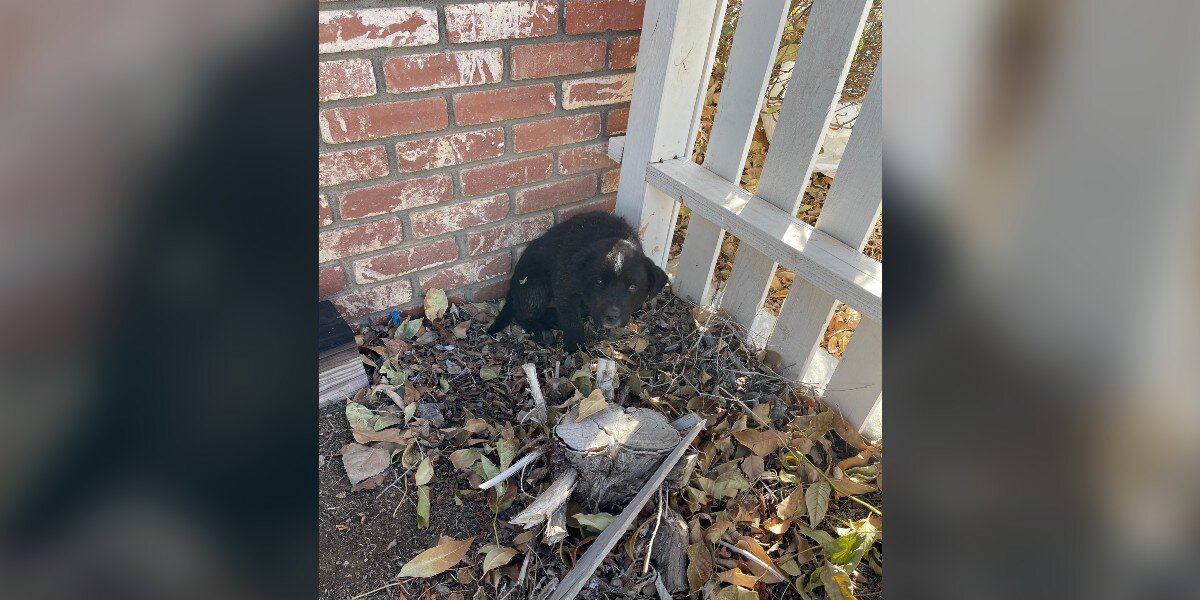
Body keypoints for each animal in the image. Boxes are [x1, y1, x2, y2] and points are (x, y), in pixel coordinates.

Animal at [489, 212, 676, 350]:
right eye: (599, 282)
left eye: (633, 286)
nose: (611, 316)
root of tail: (513, 287)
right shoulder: (565, 290)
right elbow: (572, 320)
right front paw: (575, 349)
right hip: (534, 283)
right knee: (523, 313)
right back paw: (542, 331)